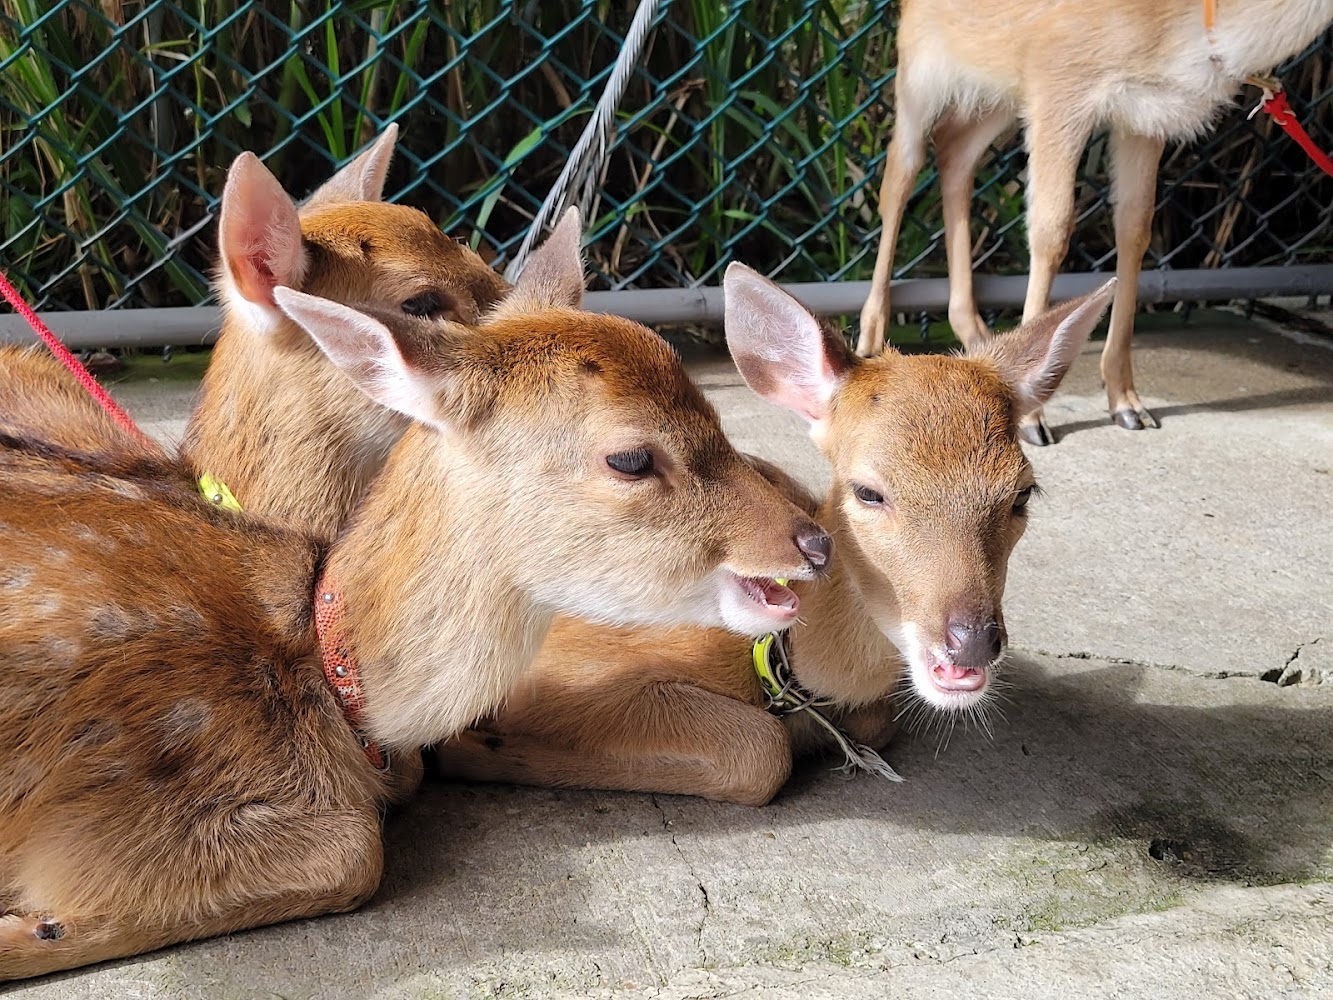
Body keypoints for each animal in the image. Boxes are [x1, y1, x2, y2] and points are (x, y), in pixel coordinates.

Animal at [0, 219, 836, 979]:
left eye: (716, 416)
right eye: (630, 457)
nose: (812, 543)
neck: (329, 687)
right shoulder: (92, 804)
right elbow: (353, 850)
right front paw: (34, 925)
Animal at [431, 271, 1117, 806]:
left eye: (1022, 492)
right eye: (869, 491)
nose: (972, 640)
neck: (790, 674)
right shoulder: (563, 666)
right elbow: (761, 751)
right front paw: (473, 748)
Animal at [855, 0, 1333, 445]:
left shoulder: (1145, 116)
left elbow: (1136, 228)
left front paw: (1127, 403)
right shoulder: (1058, 84)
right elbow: (1051, 229)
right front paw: (1033, 419)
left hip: (999, 89)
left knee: (955, 149)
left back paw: (979, 339)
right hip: (920, 72)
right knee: (899, 176)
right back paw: (871, 342)